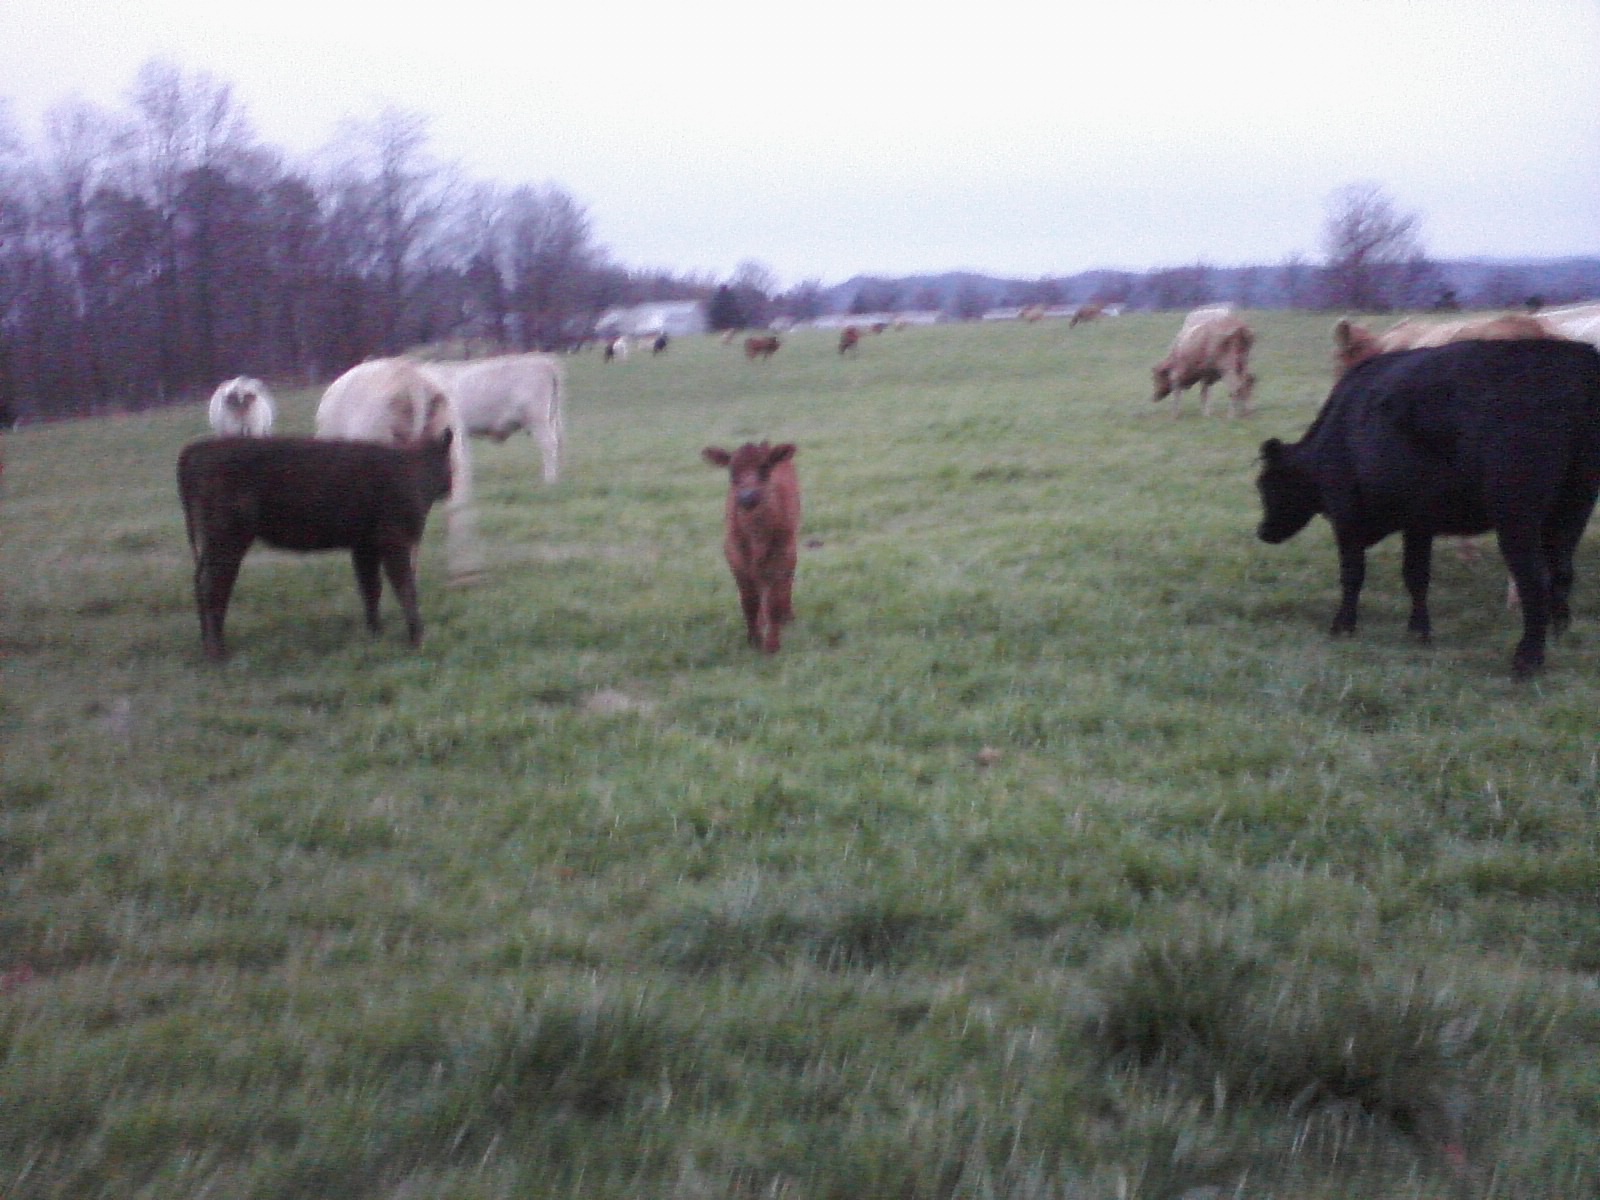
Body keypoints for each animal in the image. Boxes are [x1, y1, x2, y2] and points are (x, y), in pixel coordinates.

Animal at [177, 433, 454, 661]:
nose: (451, 487)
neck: (413, 467)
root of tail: (197, 448)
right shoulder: (393, 540)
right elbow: (405, 588)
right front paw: (417, 638)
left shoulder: (364, 546)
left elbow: (370, 588)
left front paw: (375, 633)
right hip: (228, 541)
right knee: (214, 589)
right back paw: (217, 653)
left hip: (213, 545)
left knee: (201, 585)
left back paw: (208, 646)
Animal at [702, 441, 802, 654]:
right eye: (732, 471)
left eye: (765, 468)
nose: (748, 497)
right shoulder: (734, 554)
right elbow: (749, 600)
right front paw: (754, 639)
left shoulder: (783, 552)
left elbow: (774, 599)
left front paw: (772, 646)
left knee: (784, 583)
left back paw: (786, 616)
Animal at [1255, 338, 1600, 678]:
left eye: (1266, 485)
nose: (1262, 532)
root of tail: (1576, 359)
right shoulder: (1418, 522)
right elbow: (1416, 575)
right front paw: (1418, 631)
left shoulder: (1346, 515)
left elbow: (1353, 575)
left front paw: (1343, 626)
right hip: (1575, 503)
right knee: (1562, 570)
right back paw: (1558, 635)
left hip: (1517, 514)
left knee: (1534, 580)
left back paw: (1527, 660)